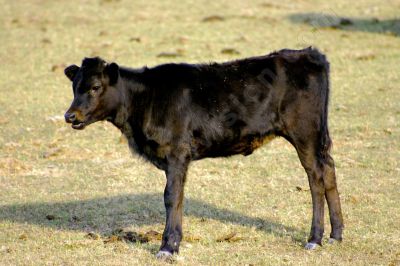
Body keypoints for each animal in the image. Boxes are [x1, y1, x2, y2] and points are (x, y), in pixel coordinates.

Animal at [63, 46, 344, 258]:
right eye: (75, 86)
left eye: (95, 87)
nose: (70, 115)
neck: (144, 101)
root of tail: (308, 53)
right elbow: (178, 197)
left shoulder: (177, 153)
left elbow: (171, 196)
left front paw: (168, 247)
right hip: (316, 137)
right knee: (329, 170)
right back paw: (336, 235)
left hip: (305, 133)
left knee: (316, 178)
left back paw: (315, 238)